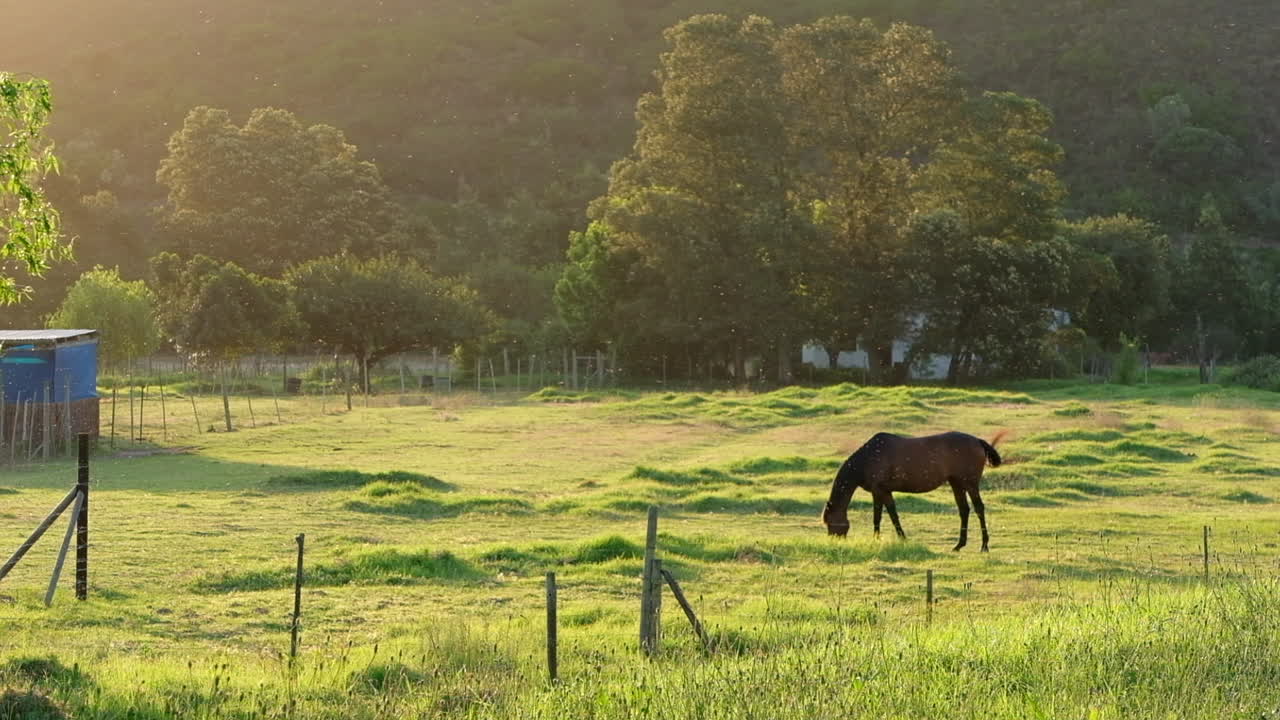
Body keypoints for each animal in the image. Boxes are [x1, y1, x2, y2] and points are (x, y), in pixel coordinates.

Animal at [821, 431, 1005, 552]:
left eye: (830, 522)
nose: (834, 542)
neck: (867, 458)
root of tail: (978, 441)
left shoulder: (878, 490)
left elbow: (880, 516)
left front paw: (882, 538)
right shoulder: (884, 491)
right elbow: (890, 514)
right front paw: (893, 538)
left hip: (970, 483)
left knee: (979, 508)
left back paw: (984, 545)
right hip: (957, 483)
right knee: (964, 510)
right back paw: (959, 545)